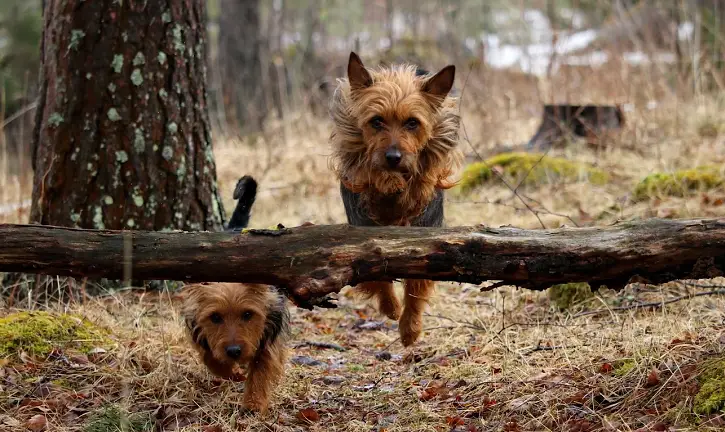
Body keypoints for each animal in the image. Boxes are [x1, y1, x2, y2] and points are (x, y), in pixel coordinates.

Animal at [180, 176, 290, 412]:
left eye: (248, 314)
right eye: (215, 317)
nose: (233, 351)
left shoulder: (269, 334)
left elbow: (261, 367)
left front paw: (253, 403)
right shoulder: (200, 332)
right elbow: (210, 358)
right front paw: (231, 372)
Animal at [330, 52, 460, 348]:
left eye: (412, 123)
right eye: (376, 121)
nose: (393, 157)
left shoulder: (426, 233)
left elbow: (416, 284)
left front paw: (410, 327)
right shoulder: (362, 229)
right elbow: (376, 273)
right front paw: (390, 306)